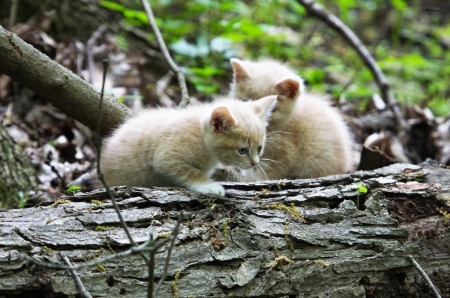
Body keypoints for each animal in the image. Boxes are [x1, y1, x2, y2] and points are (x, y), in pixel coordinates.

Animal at [100, 95, 276, 197]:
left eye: (259, 148)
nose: (255, 163)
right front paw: (209, 186)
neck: (201, 138)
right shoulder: (165, 157)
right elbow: (190, 171)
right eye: (242, 150)